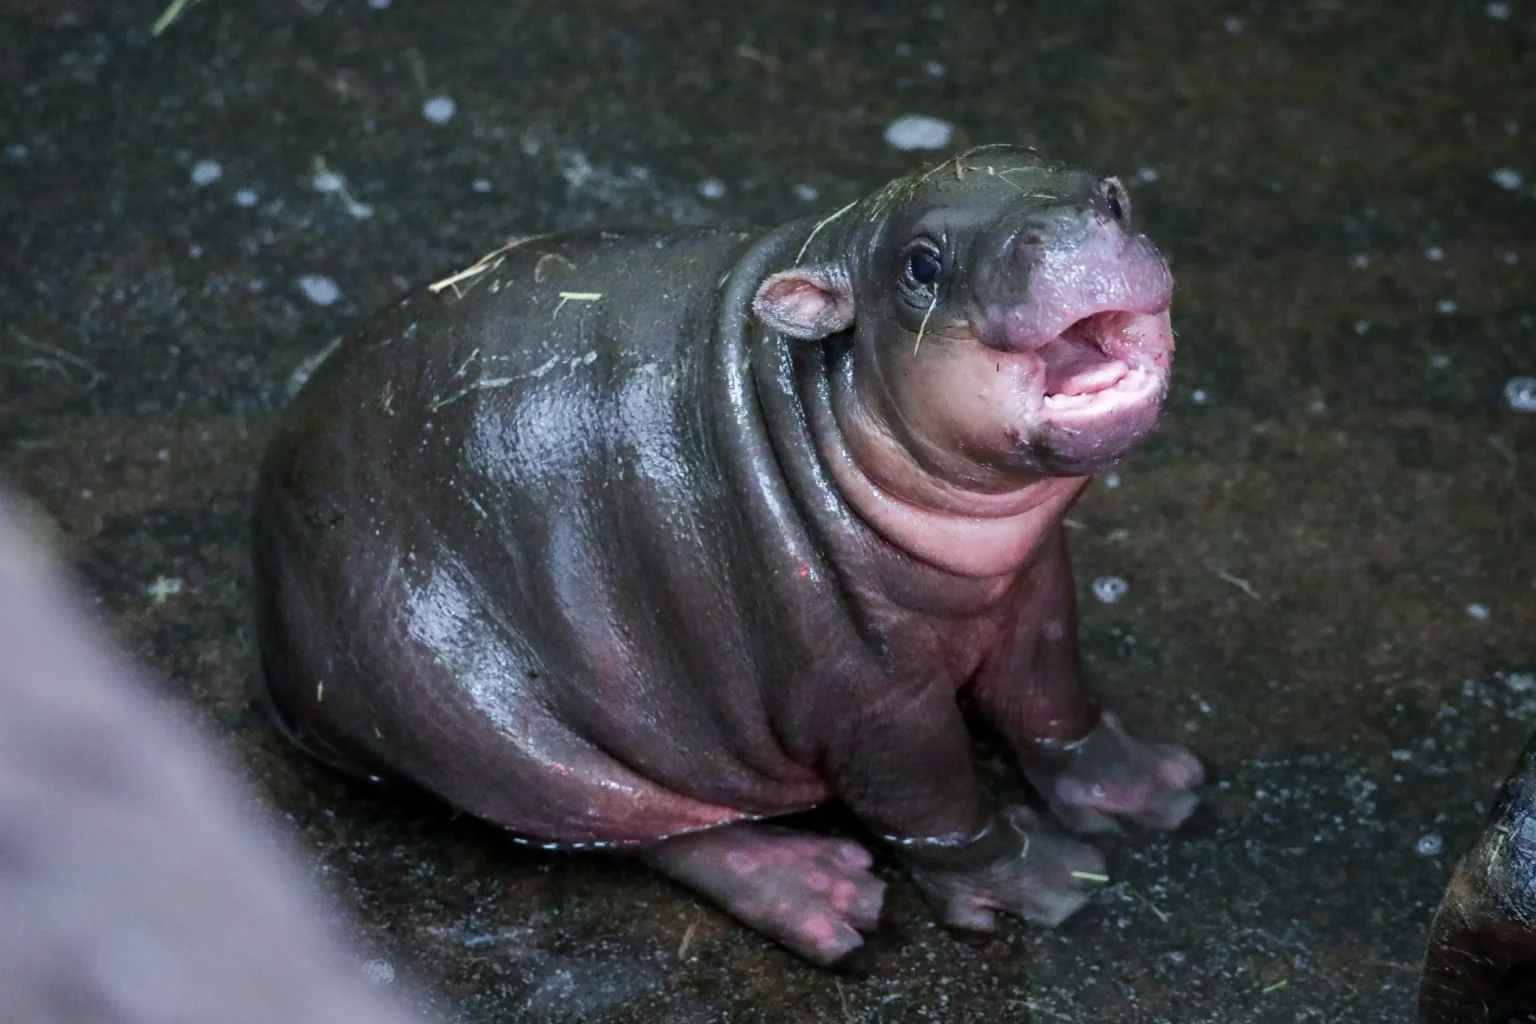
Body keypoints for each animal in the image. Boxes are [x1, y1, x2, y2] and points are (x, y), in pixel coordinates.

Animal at [253, 144, 1204, 966]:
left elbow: (1055, 699)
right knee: (646, 825)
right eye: (921, 265)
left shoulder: (1037, 592)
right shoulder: (870, 691)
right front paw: (1046, 879)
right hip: (468, 708)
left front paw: (1158, 787)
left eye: (1114, 197)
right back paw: (823, 894)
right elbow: (933, 797)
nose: (1076, 234)